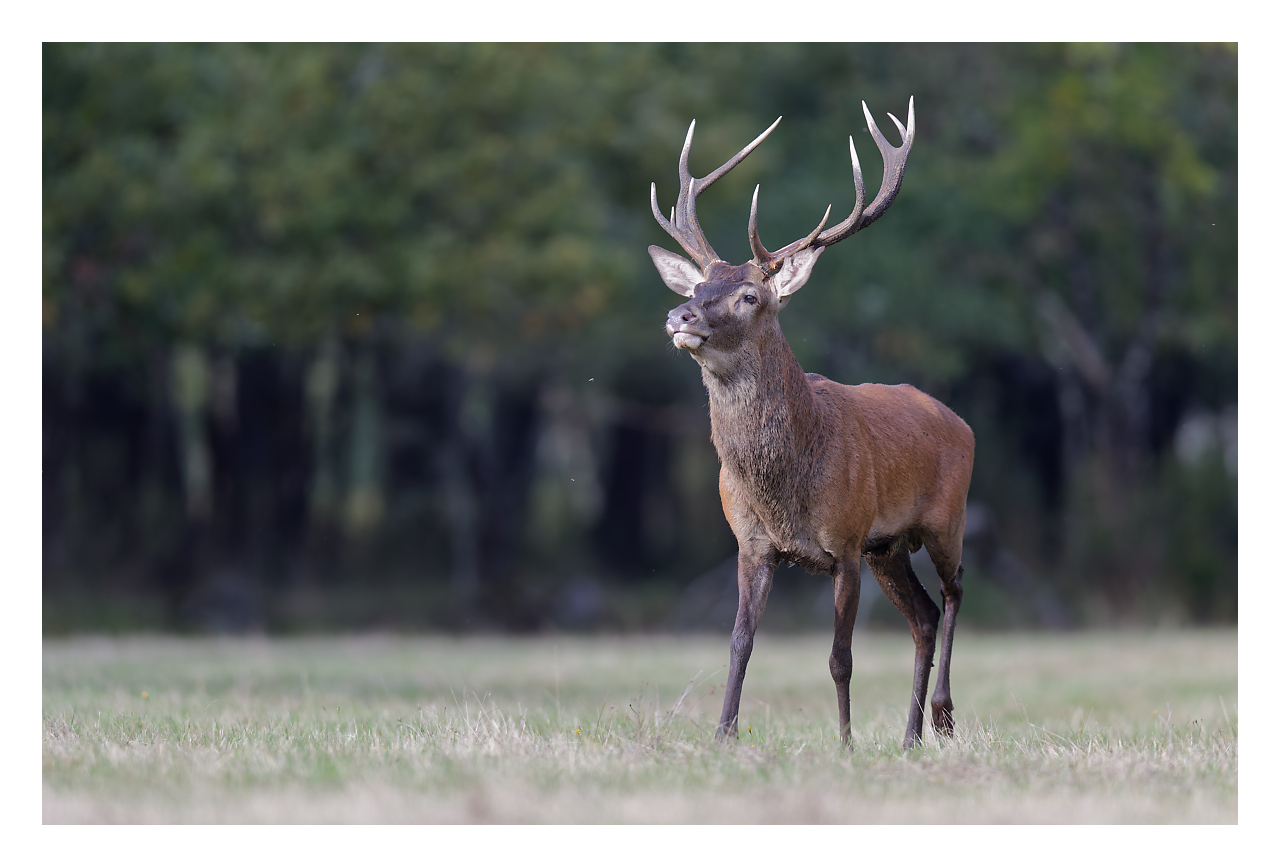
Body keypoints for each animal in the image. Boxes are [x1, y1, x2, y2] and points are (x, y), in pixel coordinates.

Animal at [647, 98, 975, 750]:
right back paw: (909, 737)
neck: (783, 488)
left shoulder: (844, 542)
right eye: (700, 284)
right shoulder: (752, 543)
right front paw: (723, 736)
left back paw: (943, 715)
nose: (680, 314)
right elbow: (739, 643)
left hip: (943, 517)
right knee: (924, 617)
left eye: (750, 295)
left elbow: (840, 657)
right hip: (888, 546)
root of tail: (962, 424)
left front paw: (845, 742)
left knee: (955, 592)